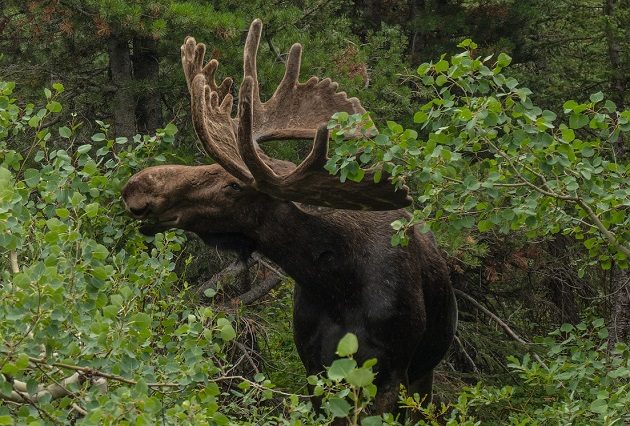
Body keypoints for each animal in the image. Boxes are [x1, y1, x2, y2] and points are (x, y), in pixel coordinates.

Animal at [122, 19, 460, 412]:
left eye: (232, 185)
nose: (136, 186)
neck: (335, 281)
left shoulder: (390, 372)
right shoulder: (315, 368)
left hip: (424, 373)